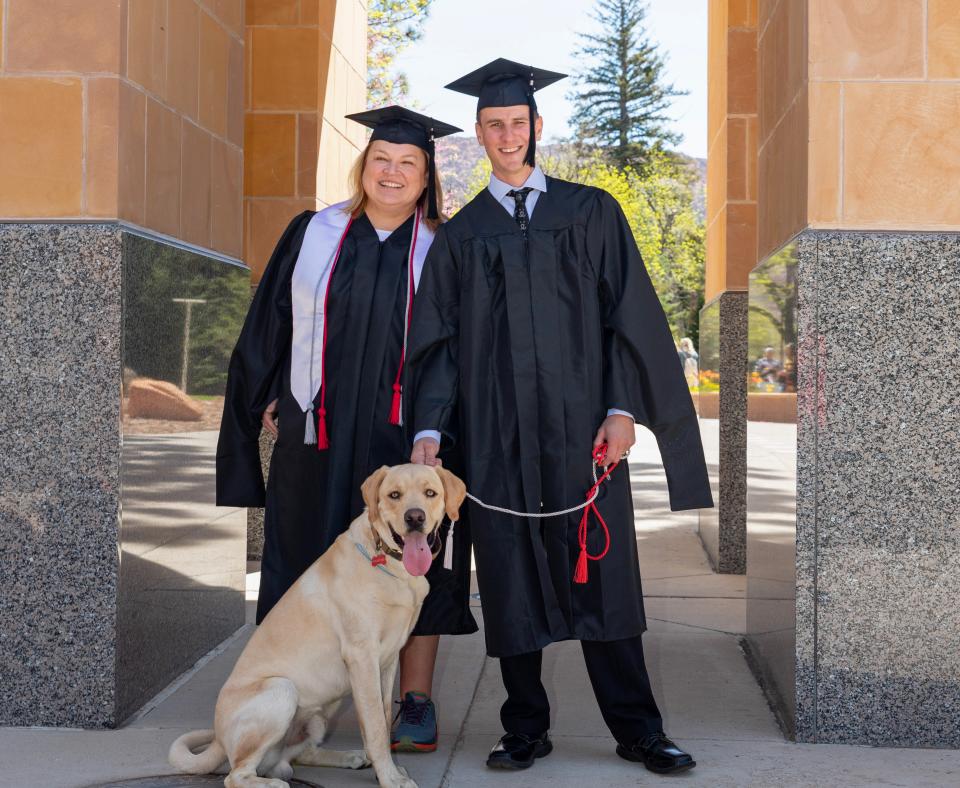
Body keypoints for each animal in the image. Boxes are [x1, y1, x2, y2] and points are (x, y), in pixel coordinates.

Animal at [170, 464, 468, 784]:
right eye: (394, 495)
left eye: (430, 493)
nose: (415, 518)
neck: (389, 564)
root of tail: (217, 740)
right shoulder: (362, 658)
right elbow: (375, 725)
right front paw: (390, 778)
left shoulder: (387, 662)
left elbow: (384, 716)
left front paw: (386, 769)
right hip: (282, 690)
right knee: (237, 774)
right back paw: (273, 784)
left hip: (321, 711)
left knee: (296, 756)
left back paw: (349, 757)